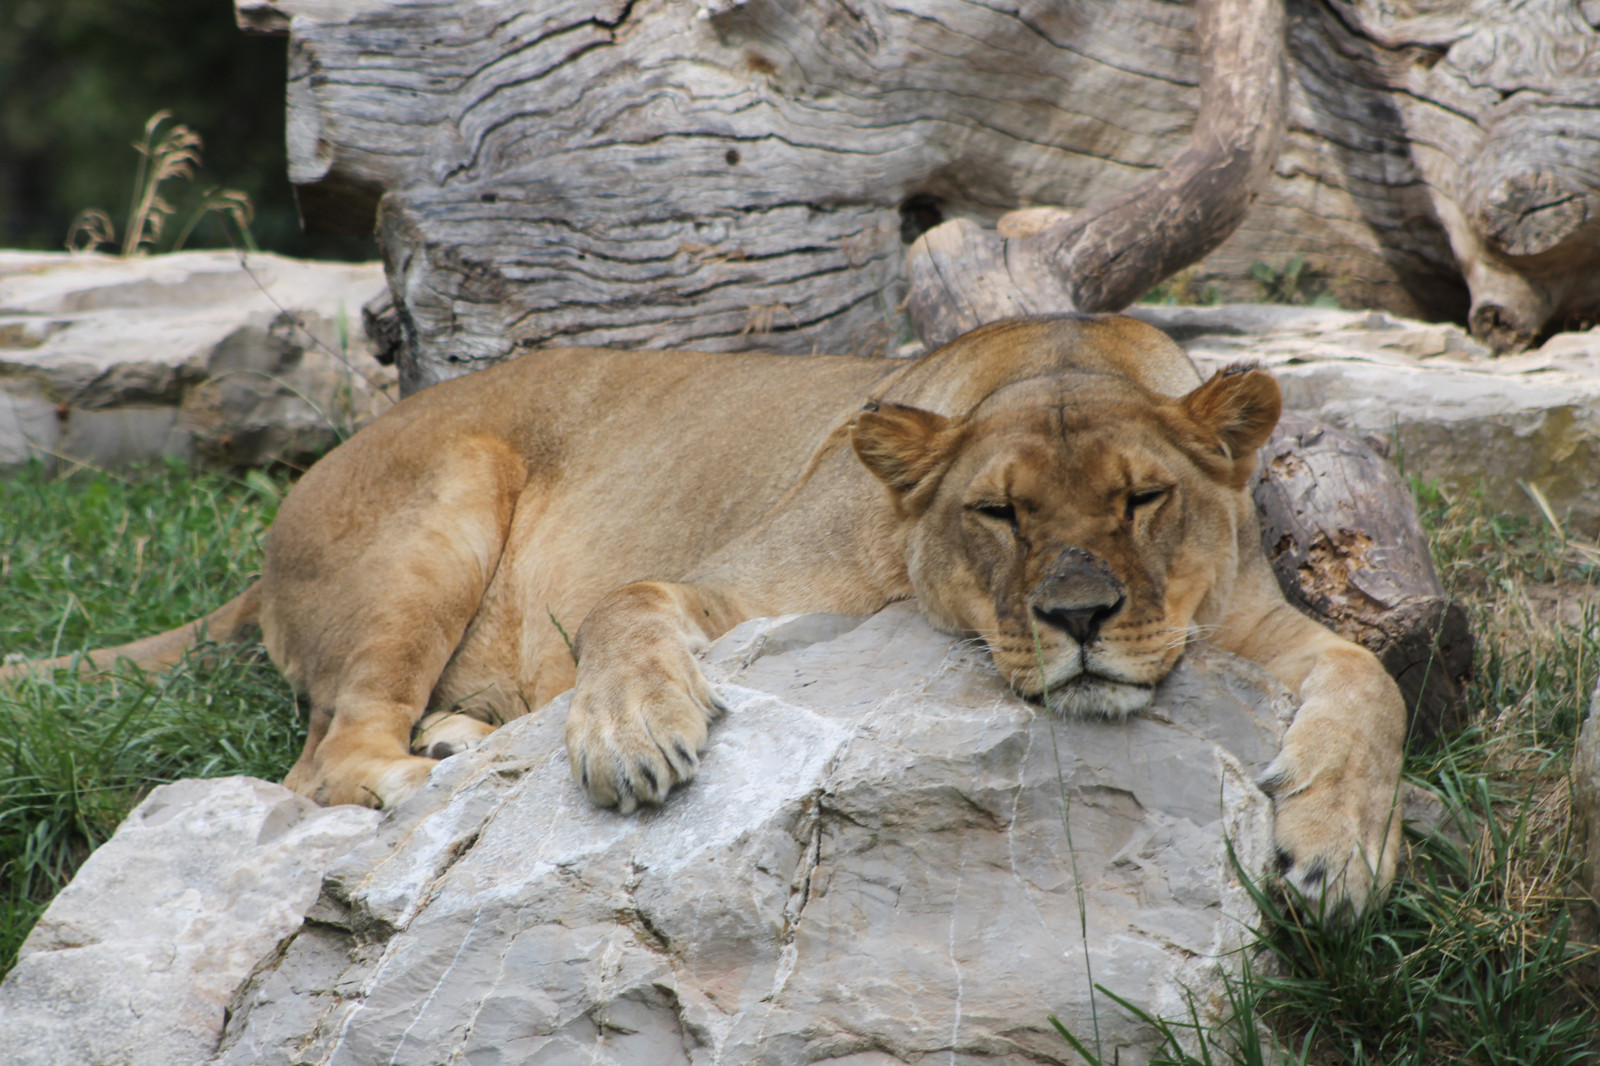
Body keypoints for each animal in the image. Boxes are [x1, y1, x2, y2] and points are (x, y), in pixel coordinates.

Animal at [5, 314, 1405, 912]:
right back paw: (433, 771)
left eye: (1142, 498)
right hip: (450, 486)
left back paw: (458, 739)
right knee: (322, 758)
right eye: (999, 513)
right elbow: (625, 609)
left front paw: (1338, 852)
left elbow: (1373, 682)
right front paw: (631, 738)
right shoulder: (731, 581)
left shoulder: (1249, 624)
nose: (1078, 616)